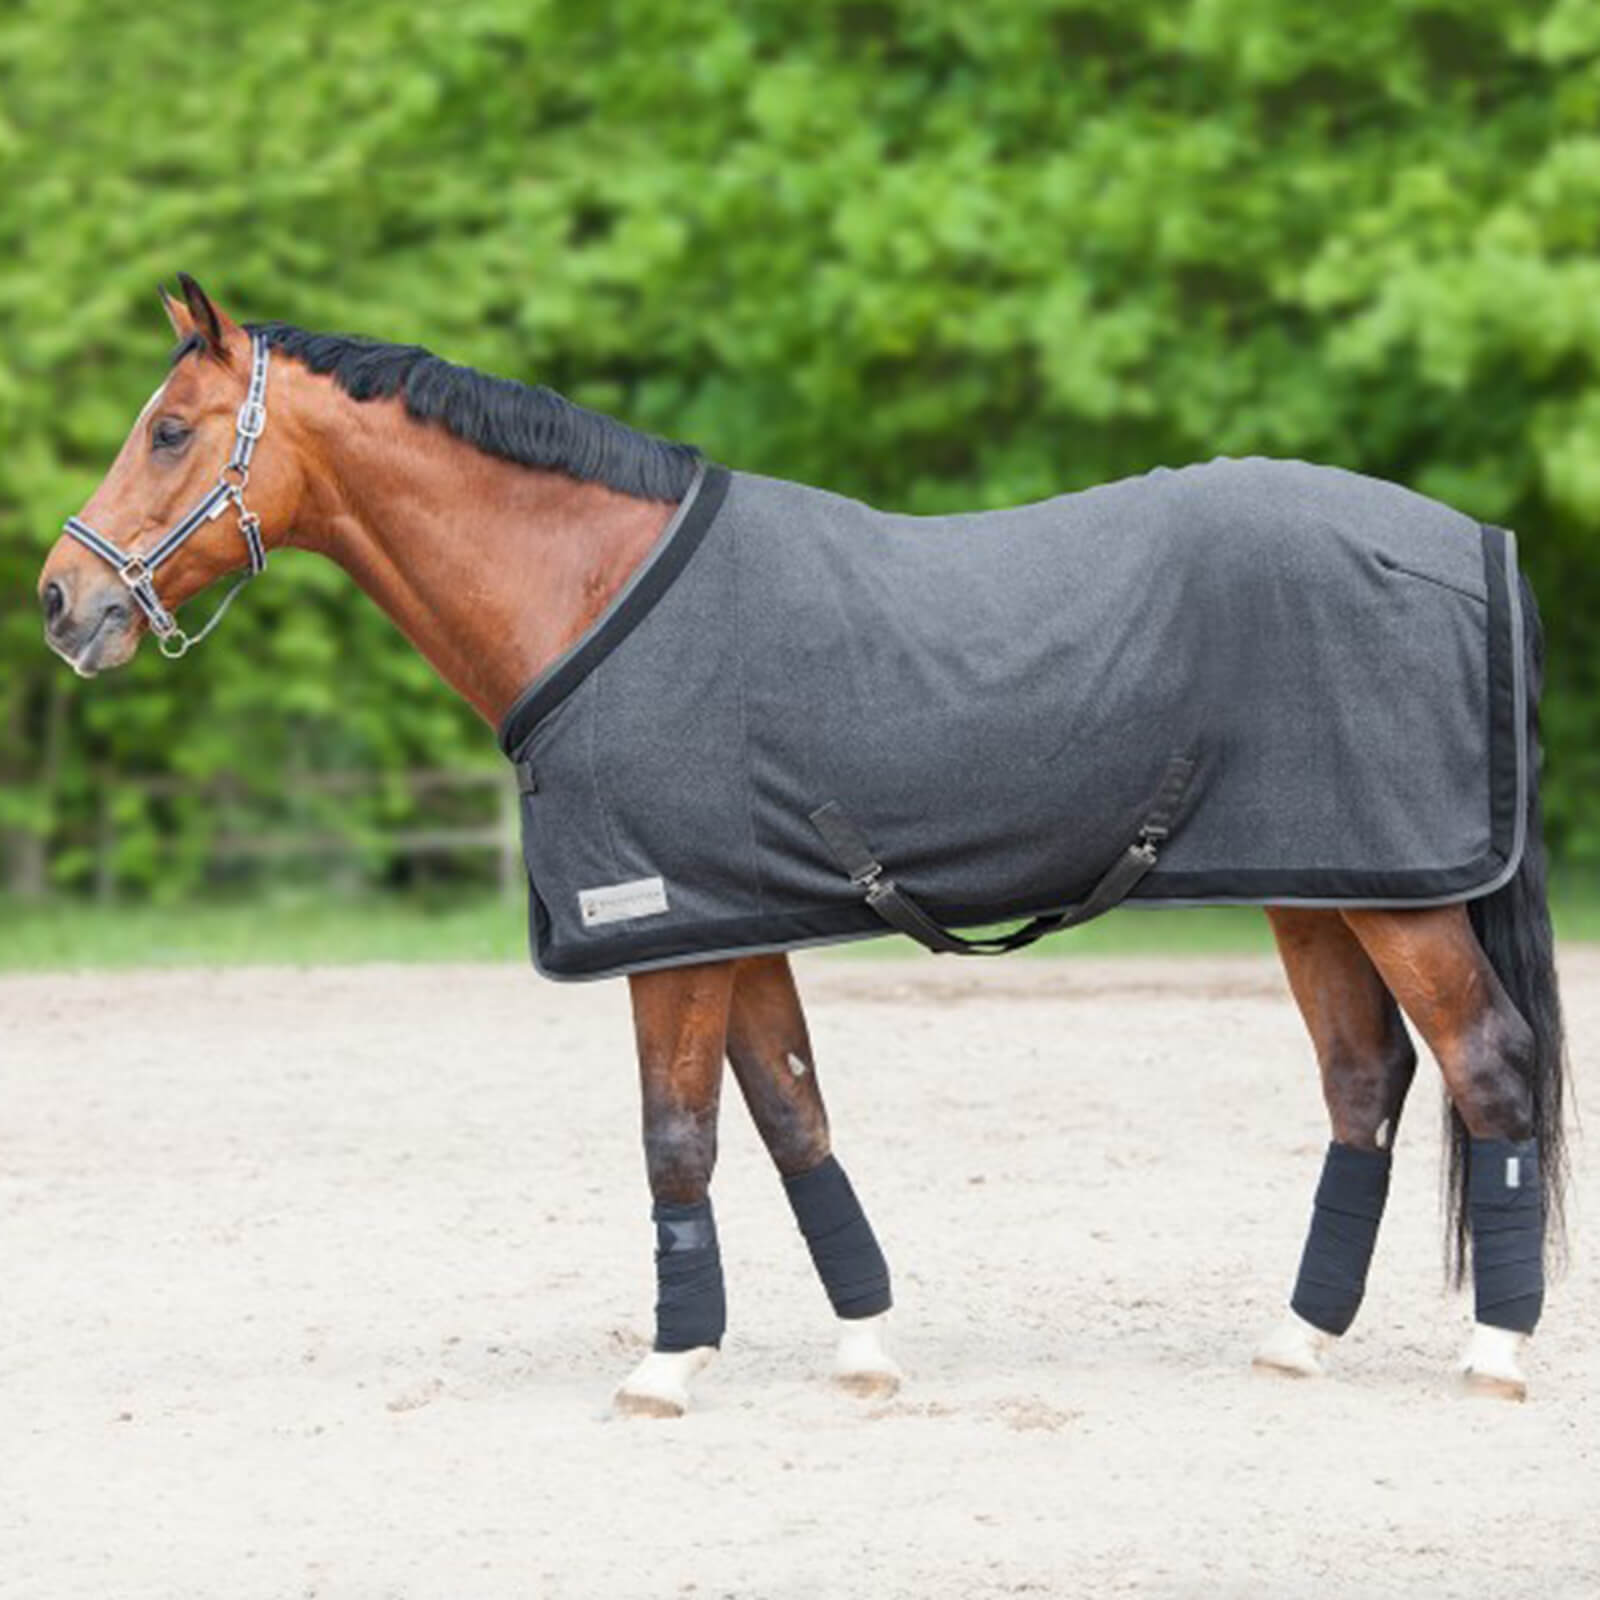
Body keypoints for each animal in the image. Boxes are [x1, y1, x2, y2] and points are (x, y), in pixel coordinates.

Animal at [37, 274, 1568, 1413]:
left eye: (170, 430)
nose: (61, 603)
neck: (587, 587)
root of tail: (1467, 548)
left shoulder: (661, 933)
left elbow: (677, 1138)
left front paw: (667, 1366)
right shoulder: (733, 917)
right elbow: (789, 1116)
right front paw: (864, 1349)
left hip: (1400, 899)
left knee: (1485, 1063)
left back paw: (1496, 1353)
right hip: (1320, 888)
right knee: (1365, 1078)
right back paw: (1299, 1339)